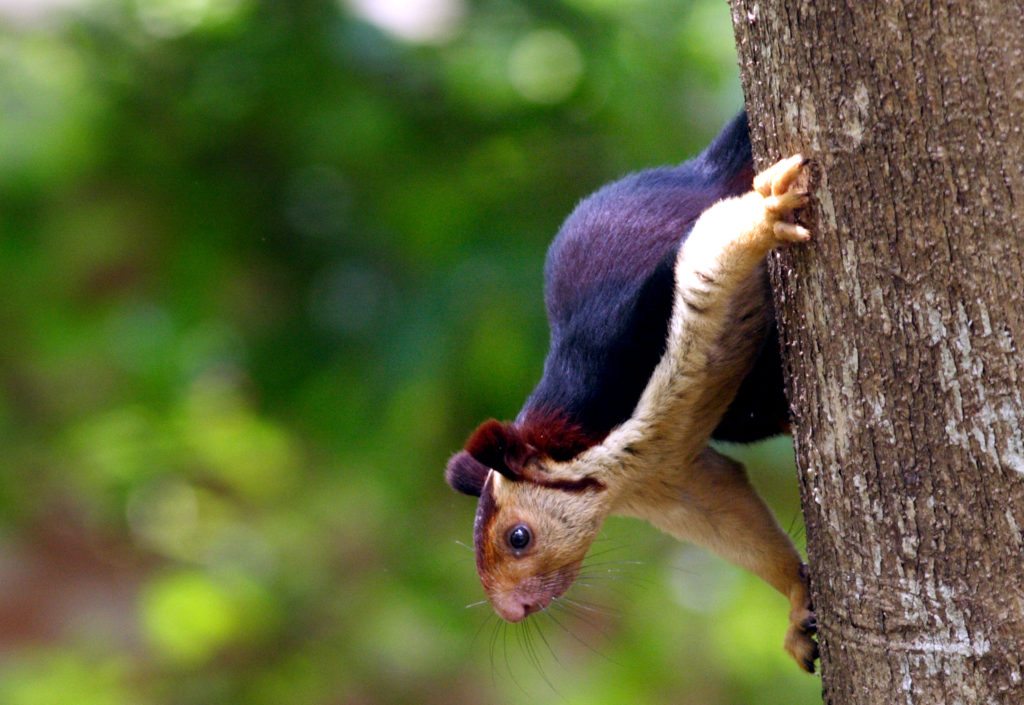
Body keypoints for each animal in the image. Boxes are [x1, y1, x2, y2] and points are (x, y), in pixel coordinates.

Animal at [445, 113, 819, 672]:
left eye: (518, 537)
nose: (512, 612)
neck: (611, 457)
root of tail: (697, 171)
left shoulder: (630, 343)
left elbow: (706, 257)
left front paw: (770, 211)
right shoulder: (670, 484)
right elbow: (736, 525)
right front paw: (797, 604)